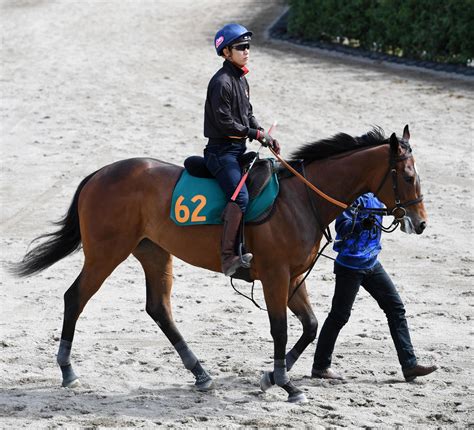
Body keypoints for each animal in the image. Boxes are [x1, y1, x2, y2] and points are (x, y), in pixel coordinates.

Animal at [11, 124, 426, 404]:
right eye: (407, 176)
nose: (420, 223)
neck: (300, 199)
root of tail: (99, 173)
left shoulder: (294, 277)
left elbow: (309, 326)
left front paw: (272, 376)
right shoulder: (275, 276)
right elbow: (280, 330)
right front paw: (284, 383)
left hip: (154, 253)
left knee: (158, 309)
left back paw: (200, 373)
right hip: (106, 253)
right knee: (75, 298)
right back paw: (67, 369)